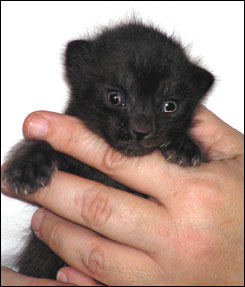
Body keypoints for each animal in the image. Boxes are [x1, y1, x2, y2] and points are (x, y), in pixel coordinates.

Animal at [3, 21, 214, 280]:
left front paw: (184, 145)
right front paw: (27, 166)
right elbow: (46, 144)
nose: (141, 130)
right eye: (115, 97)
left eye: (170, 106)